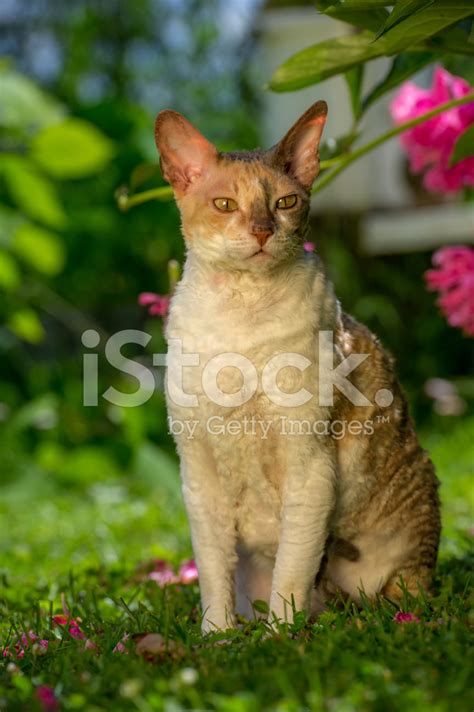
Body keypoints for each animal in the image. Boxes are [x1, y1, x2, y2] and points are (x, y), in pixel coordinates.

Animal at [155, 103, 440, 632]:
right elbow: (213, 575)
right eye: (225, 204)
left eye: (286, 202)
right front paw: (217, 638)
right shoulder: (198, 472)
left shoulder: (310, 464)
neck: (241, 321)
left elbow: (293, 567)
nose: (263, 230)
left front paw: (281, 638)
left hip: (405, 539)